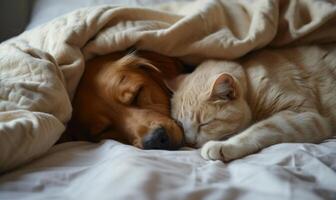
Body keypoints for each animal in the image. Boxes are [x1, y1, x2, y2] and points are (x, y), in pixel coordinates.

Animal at [171, 45, 336, 161]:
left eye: (204, 124)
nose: (190, 143)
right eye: (180, 124)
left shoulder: (305, 115)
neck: (251, 84)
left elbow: (261, 128)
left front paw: (225, 145)